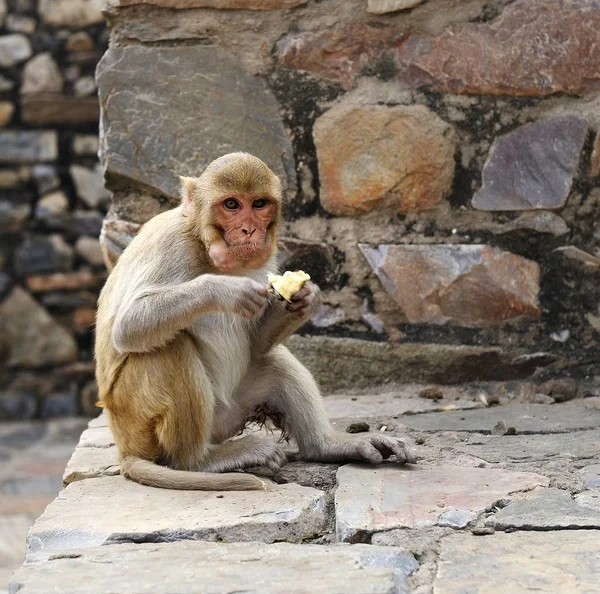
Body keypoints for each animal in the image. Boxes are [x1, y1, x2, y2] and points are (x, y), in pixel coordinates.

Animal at [97, 153, 418, 490]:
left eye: (259, 203)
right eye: (232, 205)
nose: (250, 230)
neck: (203, 244)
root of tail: (125, 447)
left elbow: (258, 344)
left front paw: (306, 298)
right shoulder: (170, 243)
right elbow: (128, 326)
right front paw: (224, 290)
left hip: (228, 413)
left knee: (272, 360)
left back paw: (328, 446)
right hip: (137, 419)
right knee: (170, 347)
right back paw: (199, 460)